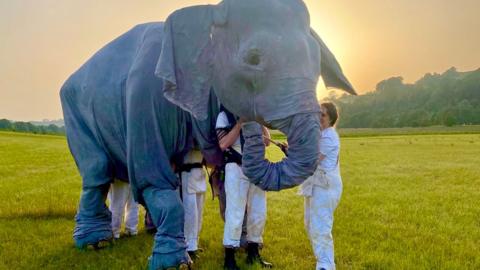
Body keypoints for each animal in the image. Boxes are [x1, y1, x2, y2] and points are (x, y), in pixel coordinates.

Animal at [60, 0, 354, 268]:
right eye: (253, 59)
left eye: (317, 62)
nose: (246, 114)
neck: (208, 11)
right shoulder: (143, 98)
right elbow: (153, 178)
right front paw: (175, 264)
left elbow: (222, 181)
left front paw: (248, 250)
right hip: (75, 114)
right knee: (97, 172)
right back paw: (97, 242)